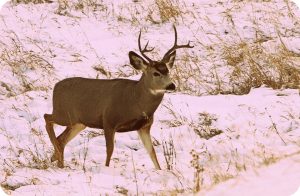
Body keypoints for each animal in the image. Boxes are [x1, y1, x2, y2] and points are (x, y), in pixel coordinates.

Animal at [44, 25, 193, 170]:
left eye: (168, 70)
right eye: (156, 73)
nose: (171, 85)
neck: (136, 102)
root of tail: (56, 87)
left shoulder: (144, 127)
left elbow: (152, 152)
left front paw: (160, 170)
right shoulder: (109, 120)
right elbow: (110, 150)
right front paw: (106, 169)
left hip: (78, 122)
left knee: (61, 139)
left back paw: (58, 161)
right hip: (63, 114)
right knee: (47, 118)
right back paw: (57, 157)